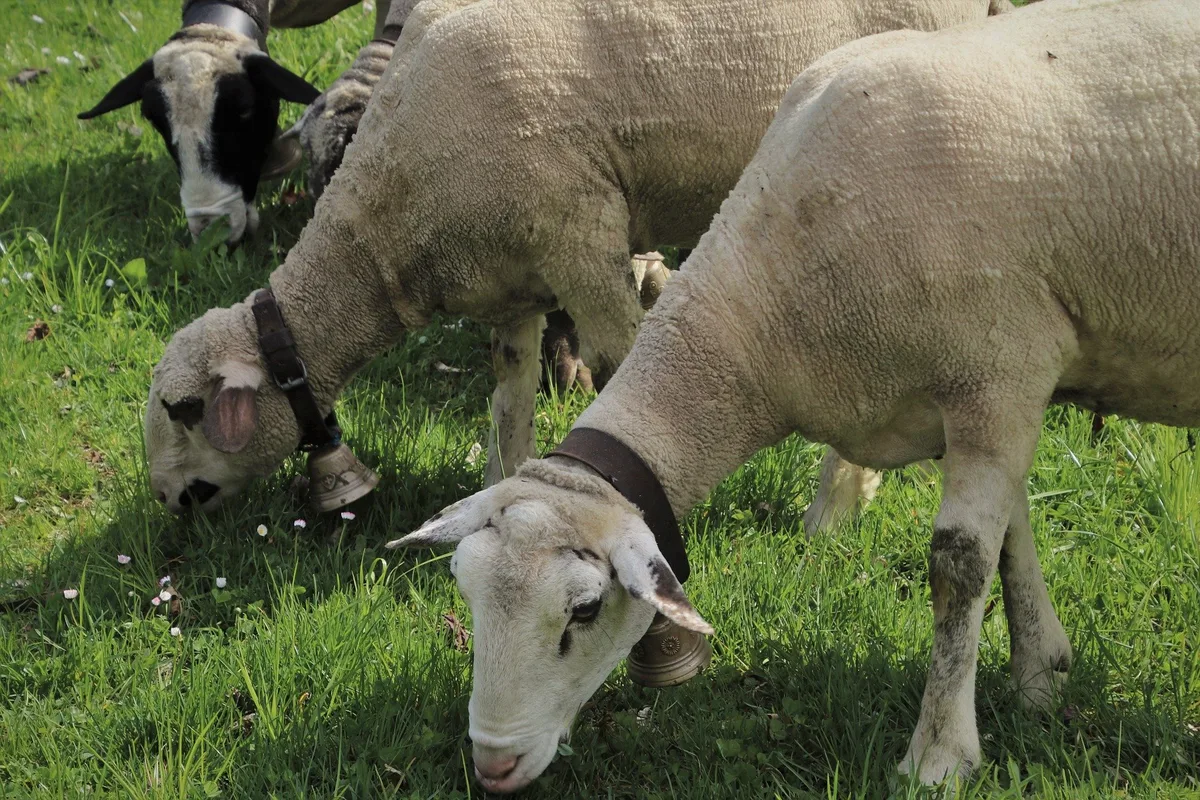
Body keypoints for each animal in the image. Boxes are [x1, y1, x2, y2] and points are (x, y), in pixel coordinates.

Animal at [144, 0, 1007, 513]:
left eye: (184, 410)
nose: (171, 503)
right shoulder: (507, 277)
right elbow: (509, 394)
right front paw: (498, 486)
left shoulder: (581, 235)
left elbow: (622, 361)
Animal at [388, 0, 1200, 790]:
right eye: (463, 590)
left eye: (583, 611)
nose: (493, 766)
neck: (763, 308)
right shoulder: (981, 400)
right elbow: (1010, 538)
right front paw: (1041, 676)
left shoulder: (999, 372)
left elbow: (959, 566)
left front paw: (940, 755)